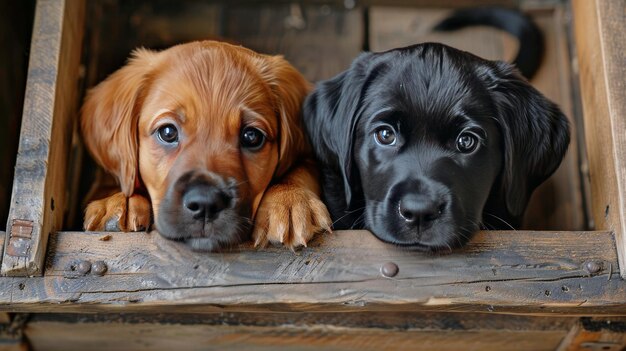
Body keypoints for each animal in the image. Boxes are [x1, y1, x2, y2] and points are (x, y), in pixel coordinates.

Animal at [80, 41, 330, 250]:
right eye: (168, 132)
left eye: (251, 136)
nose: (205, 204)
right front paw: (116, 201)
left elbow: (299, 168)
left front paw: (290, 201)